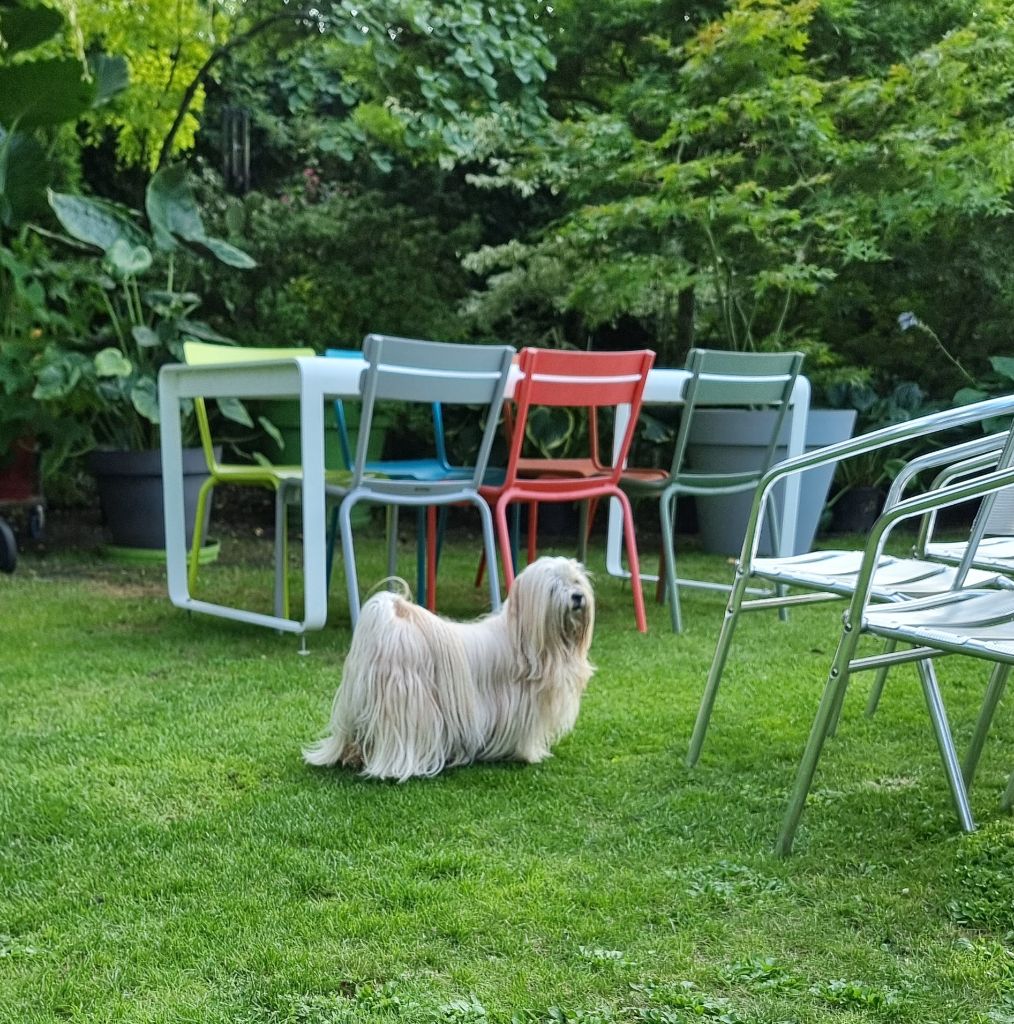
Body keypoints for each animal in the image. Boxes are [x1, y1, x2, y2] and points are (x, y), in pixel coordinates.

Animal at [303, 556, 595, 781]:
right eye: (554, 586)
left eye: (576, 581)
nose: (577, 597)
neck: (523, 640)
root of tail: (387, 628)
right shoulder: (522, 708)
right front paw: (530, 755)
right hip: (407, 707)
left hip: (356, 704)